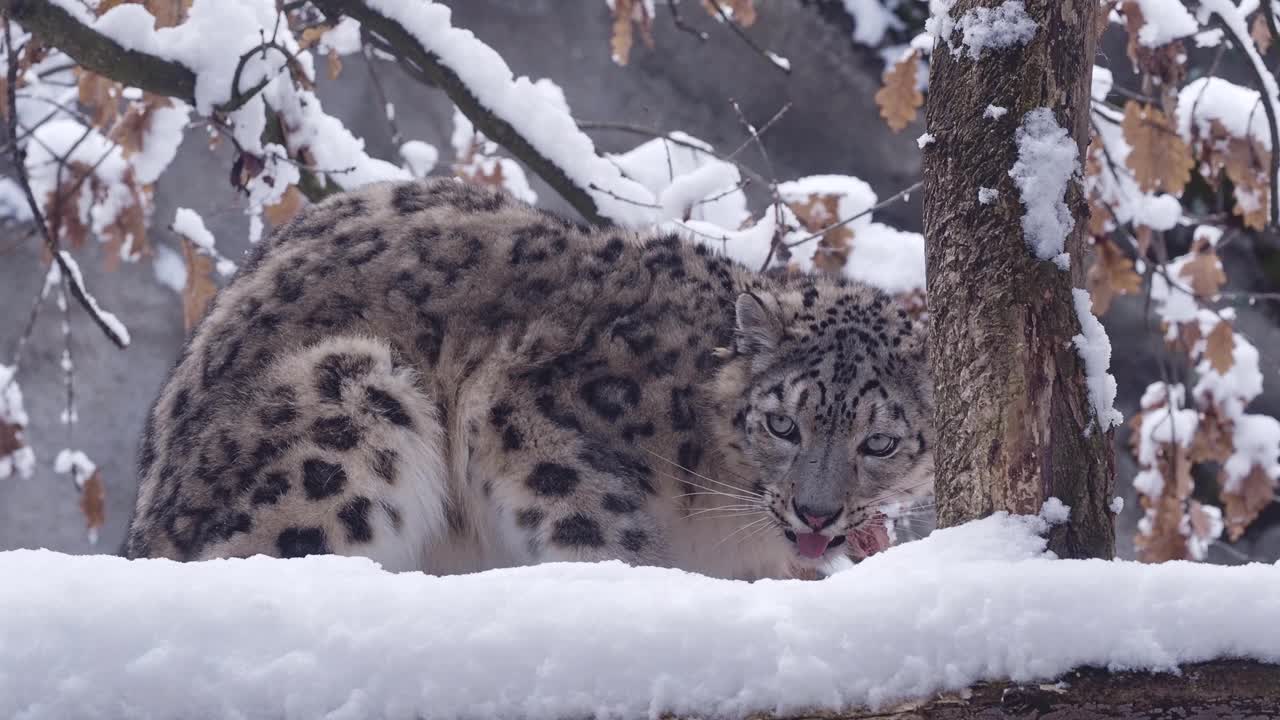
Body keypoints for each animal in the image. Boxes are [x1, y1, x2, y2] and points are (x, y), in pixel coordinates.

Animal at [124, 179, 936, 576]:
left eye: (880, 443)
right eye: (782, 424)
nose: (817, 514)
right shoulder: (531, 413)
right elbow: (602, 532)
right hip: (346, 402)